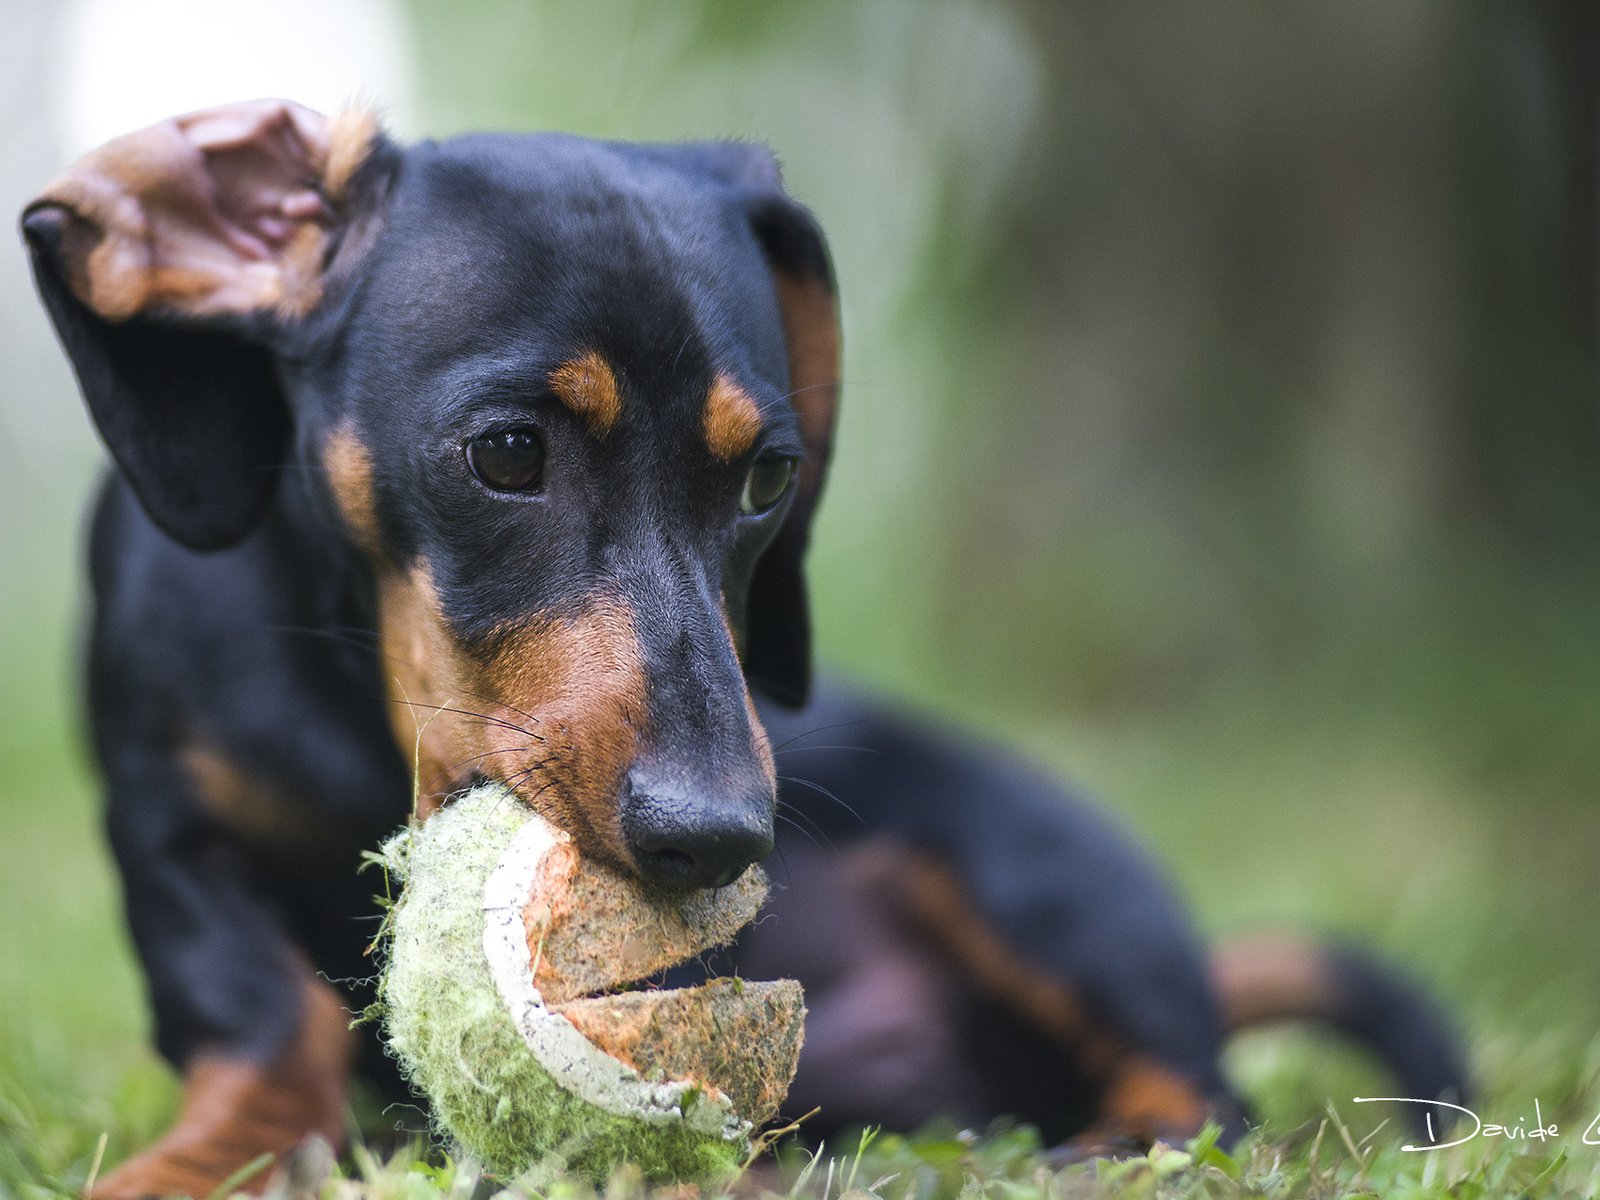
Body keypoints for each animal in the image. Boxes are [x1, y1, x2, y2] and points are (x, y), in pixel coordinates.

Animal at [21, 105, 1465, 1200]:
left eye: (768, 476)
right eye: (507, 452)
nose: (717, 839)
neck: (356, 702)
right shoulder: (168, 829)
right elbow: (262, 1011)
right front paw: (214, 1157)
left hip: (1029, 878)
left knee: (1206, 1100)